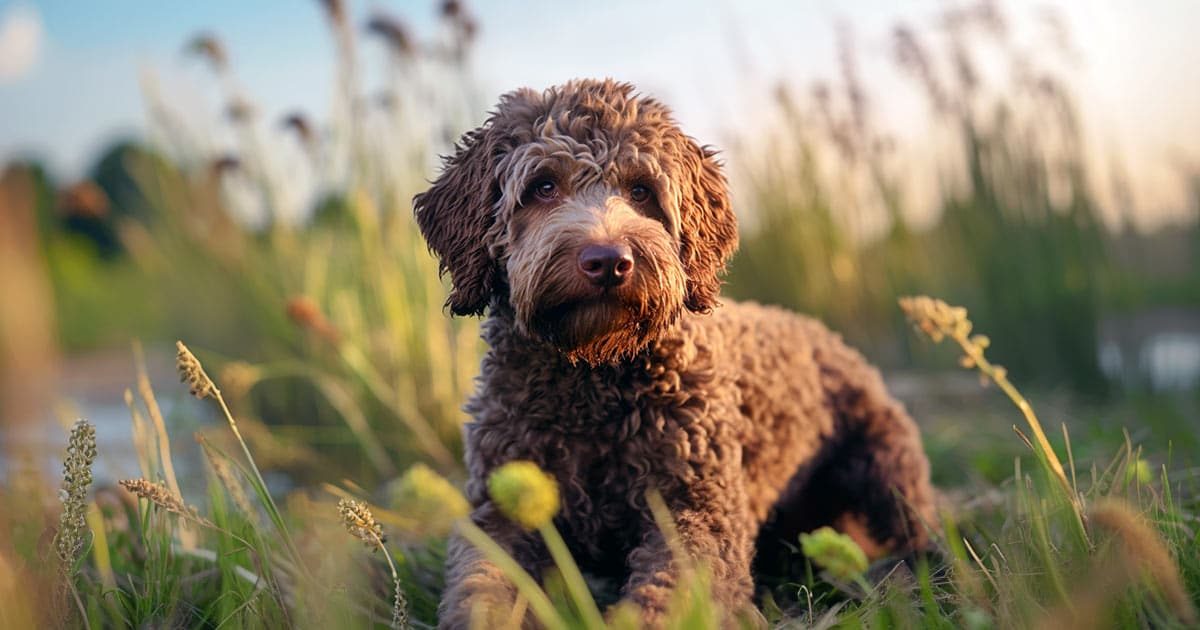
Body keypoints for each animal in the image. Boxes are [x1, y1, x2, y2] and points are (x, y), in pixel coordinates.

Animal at [415, 79, 936, 628]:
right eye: (543, 186)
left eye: (642, 190)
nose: (607, 261)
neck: (591, 383)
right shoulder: (501, 512)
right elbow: (482, 591)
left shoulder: (697, 511)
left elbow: (672, 593)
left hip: (885, 465)